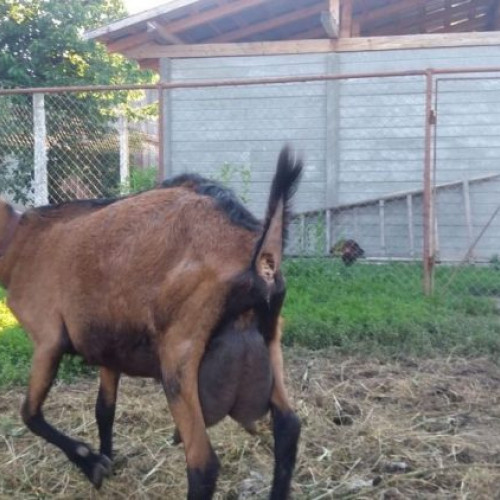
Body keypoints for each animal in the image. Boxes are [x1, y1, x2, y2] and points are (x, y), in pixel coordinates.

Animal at [0, 146, 300, 500]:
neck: (21, 240)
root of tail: (258, 257)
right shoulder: (108, 348)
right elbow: (104, 410)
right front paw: (106, 459)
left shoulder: (47, 339)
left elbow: (30, 413)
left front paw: (91, 463)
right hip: (270, 341)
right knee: (288, 427)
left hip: (179, 357)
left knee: (203, 463)